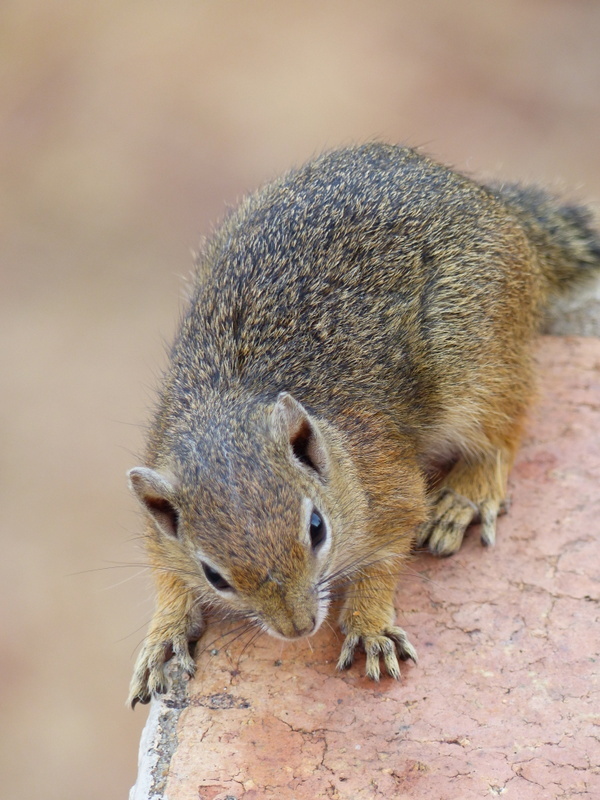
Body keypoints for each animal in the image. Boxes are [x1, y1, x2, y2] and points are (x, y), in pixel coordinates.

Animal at [125, 142, 596, 708]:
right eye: (214, 574)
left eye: (316, 528)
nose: (299, 627)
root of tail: (495, 204)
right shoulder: (159, 522)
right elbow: (166, 575)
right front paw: (164, 636)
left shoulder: (392, 485)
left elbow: (386, 556)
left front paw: (370, 624)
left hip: (478, 361)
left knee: (506, 426)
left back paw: (465, 496)